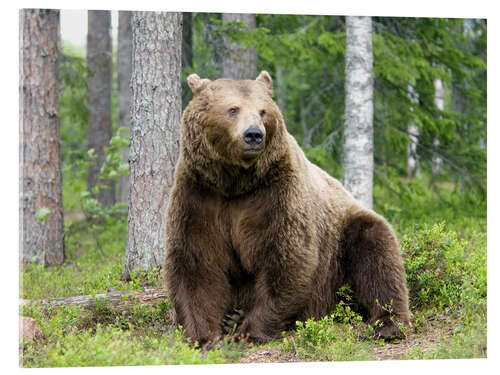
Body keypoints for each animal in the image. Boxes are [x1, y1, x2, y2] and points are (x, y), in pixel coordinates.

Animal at [165, 70, 410, 346]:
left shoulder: (275, 194)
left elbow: (285, 254)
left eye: (262, 111)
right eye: (233, 109)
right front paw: (202, 335)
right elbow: (196, 260)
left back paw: (386, 324)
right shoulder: (200, 195)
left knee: (378, 255)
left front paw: (249, 331)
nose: (253, 134)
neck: (235, 182)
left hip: (343, 239)